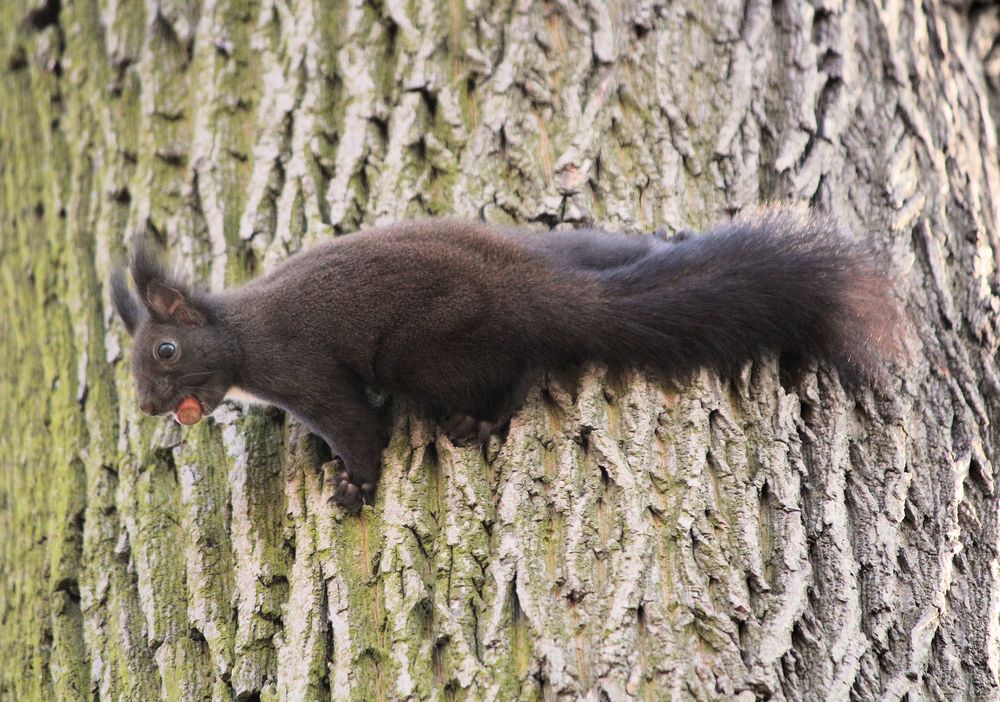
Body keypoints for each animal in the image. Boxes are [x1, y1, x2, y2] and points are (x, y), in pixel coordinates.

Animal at [109, 209, 900, 512]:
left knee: (520, 372)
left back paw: (482, 423)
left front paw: (353, 488)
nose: (147, 407)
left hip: (424, 352)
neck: (238, 334)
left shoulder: (302, 370)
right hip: (578, 250)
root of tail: (547, 292)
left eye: (166, 352)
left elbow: (355, 427)